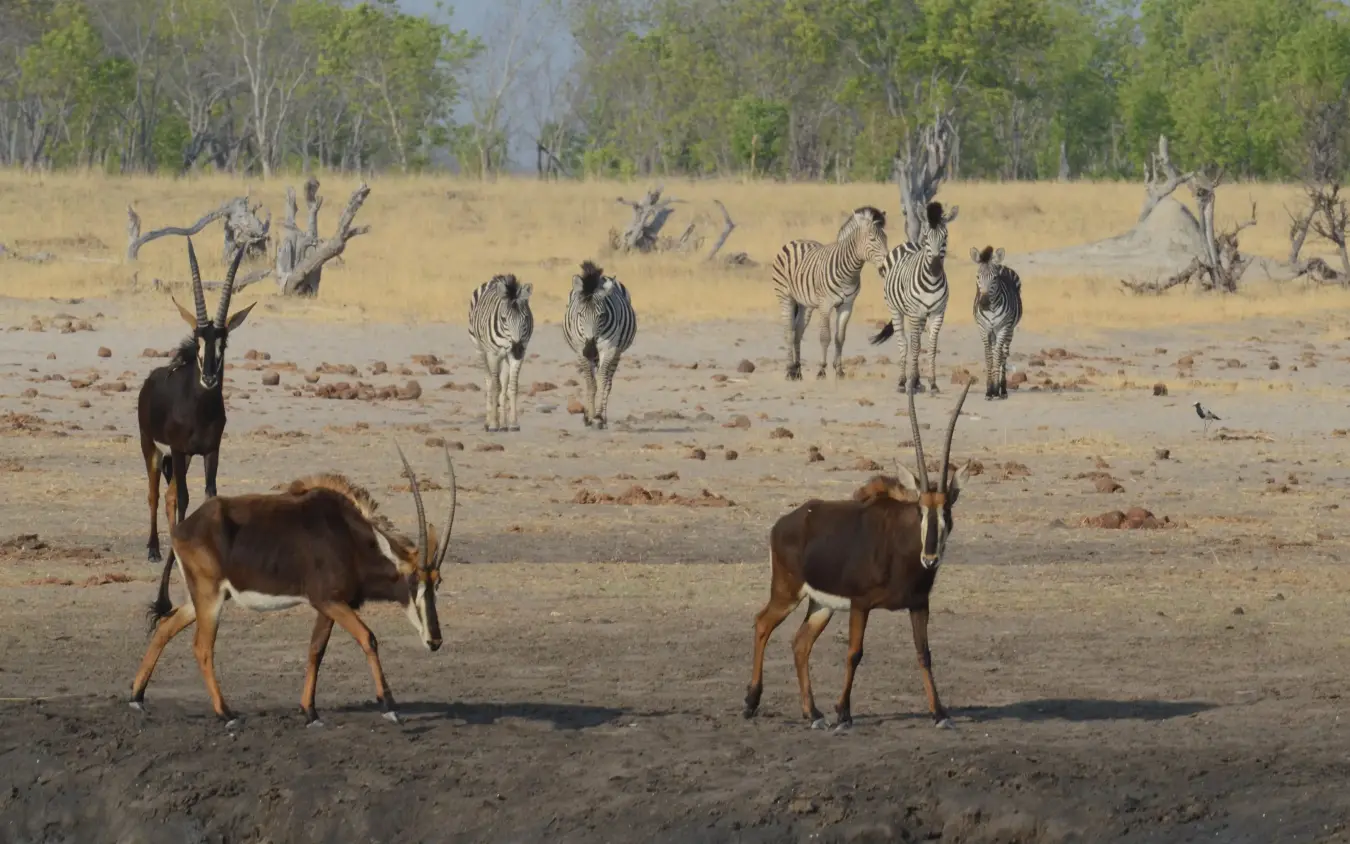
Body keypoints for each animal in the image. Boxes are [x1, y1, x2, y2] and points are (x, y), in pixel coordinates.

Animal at [468, 273, 534, 431]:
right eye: (504, 319)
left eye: (525, 318)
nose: (516, 349)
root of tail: (495, 279)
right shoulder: (493, 354)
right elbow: (495, 386)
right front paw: (493, 423)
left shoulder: (519, 354)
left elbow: (512, 387)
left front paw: (513, 422)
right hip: (480, 350)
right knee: (489, 381)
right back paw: (489, 421)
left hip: (506, 357)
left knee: (503, 384)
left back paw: (503, 423)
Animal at [564, 260, 637, 429]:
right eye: (580, 314)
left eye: (601, 315)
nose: (590, 350)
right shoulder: (580, 350)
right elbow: (591, 383)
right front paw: (589, 417)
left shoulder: (609, 349)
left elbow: (602, 381)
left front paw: (597, 417)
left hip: (616, 353)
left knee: (608, 382)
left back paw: (602, 415)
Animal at [771, 206, 889, 381]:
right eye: (873, 239)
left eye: (886, 238)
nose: (886, 266)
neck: (849, 272)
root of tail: (796, 241)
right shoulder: (825, 304)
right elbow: (825, 337)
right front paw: (822, 370)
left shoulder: (847, 305)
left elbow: (840, 337)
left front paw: (839, 370)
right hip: (785, 297)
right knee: (789, 333)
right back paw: (789, 370)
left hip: (806, 304)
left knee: (798, 332)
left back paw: (798, 370)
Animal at [870, 201, 960, 396]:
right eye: (926, 236)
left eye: (945, 236)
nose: (935, 269)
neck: (932, 282)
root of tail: (908, 243)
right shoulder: (914, 312)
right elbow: (915, 346)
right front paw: (909, 382)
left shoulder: (938, 313)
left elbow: (931, 347)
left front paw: (932, 383)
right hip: (896, 309)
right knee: (904, 343)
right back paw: (903, 381)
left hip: (921, 316)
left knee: (914, 342)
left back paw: (917, 381)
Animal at [970, 246, 1023, 400]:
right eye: (977, 277)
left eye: (994, 278)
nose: (984, 303)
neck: (992, 309)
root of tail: (1002, 265)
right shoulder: (983, 329)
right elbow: (989, 356)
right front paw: (989, 390)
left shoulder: (1002, 328)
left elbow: (998, 356)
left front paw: (995, 389)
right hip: (992, 333)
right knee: (994, 352)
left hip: (1009, 330)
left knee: (1003, 354)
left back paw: (1003, 389)